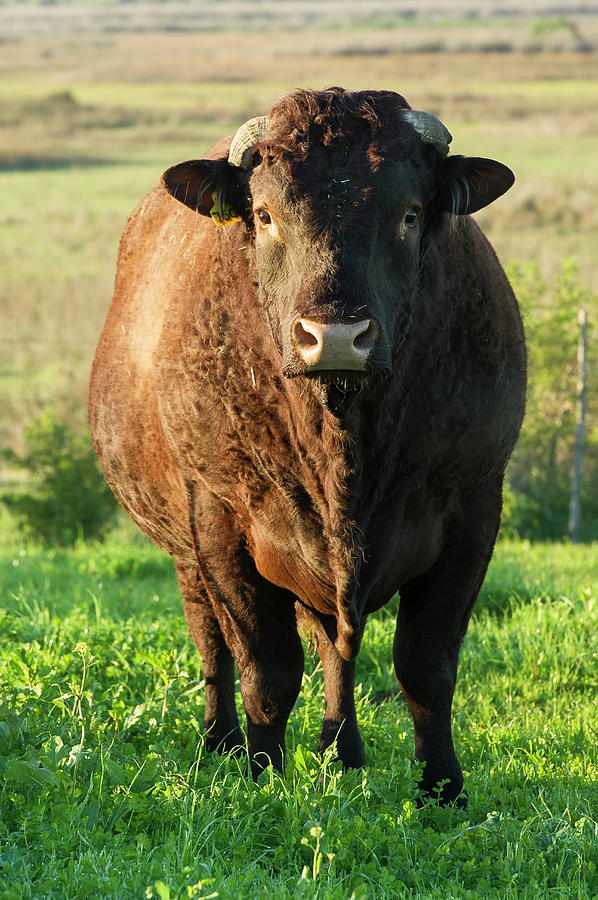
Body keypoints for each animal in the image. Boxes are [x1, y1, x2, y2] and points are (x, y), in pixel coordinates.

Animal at [88, 88, 524, 804]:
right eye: (265, 215)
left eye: (409, 214)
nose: (336, 336)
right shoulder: (222, 518)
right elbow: (265, 668)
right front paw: (262, 778)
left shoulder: (473, 506)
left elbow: (426, 665)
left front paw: (443, 789)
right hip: (186, 552)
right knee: (214, 644)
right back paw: (219, 742)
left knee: (333, 644)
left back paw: (341, 751)